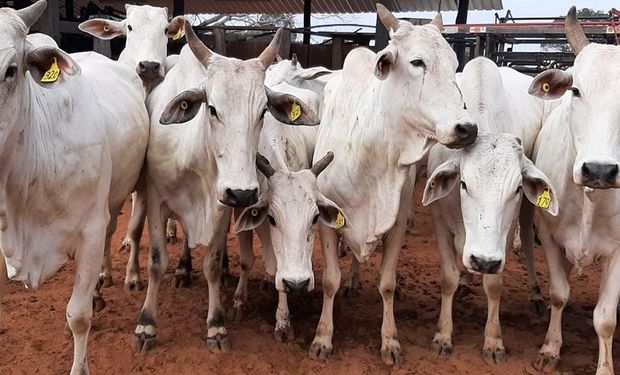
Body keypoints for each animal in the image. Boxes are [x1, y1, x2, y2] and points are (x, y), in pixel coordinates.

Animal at [134, 23, 322, 356]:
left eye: (263, 111)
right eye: (211, 108)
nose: (243, 193)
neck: (193, 154)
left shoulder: (222, 204)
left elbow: (211, 262)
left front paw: (216, 325)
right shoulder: (158, 200)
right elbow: (156, 262)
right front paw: (146, 325)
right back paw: (182, 270)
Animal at [310, 4, 480, 366]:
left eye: (454, 64)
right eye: (417, 62)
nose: (467, 128)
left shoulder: (398, 221)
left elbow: (386, 283)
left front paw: (390, 340)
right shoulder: (328, 221)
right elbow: (329, 280)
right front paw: (323, 337)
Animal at [524, 6, 620, 375]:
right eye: (575, 90)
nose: (600, 170)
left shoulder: (619, 252)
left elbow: (605, 318)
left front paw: (605, 367)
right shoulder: (551, 237)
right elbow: (559, 294)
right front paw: (550, 349)